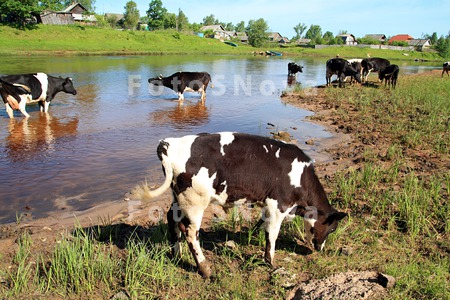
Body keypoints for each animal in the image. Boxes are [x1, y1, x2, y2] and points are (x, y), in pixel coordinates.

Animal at [134, 132, 348, 278]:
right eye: (332, 228)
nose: (319, 248)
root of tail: (169, 143)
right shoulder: (277, 204)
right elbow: (272, 235)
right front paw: (270, 262)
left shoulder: (268, 205)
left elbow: (262, 227)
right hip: (194, 202)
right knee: (190, 232)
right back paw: (205, 268)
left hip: (178, 198)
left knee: (172, 219)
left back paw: (176, 255)